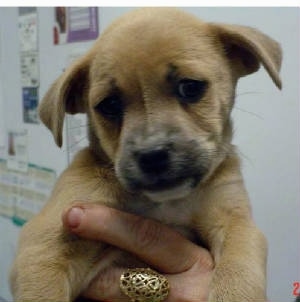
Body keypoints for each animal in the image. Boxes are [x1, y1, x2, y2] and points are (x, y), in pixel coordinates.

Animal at [9, 7, 282, 302]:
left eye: (190, 87)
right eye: (109, 104)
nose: (152, 155)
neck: (165, 203)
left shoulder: (236, 225)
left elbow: (237, 274)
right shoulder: (44, 244)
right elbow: (44, 290)